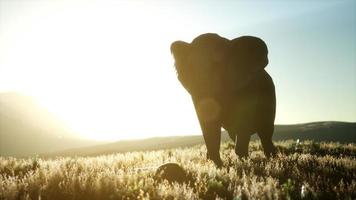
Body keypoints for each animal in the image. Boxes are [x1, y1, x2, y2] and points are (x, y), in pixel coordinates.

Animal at [171, 33, 276, 167]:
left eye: (218, 64)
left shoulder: (247, 90)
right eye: (191, 67)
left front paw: (243, 163)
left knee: (265, 133)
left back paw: (271, 158)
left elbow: (243, 123)